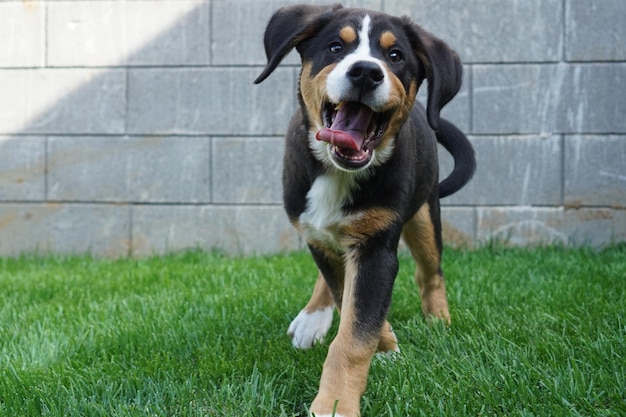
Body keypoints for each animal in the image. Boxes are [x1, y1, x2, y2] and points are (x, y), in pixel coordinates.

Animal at [254, 4, 472, 416]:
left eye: (395, 55)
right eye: (336, 47)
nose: (366, 72)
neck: (337, 173)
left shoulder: (375, 245)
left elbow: (355, 335)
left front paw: (335, 404)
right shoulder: (320, 233)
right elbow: (348, 302)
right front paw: (383, 343)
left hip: (424, 212)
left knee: (430, 271)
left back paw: (439, 320)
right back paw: (313, 317)